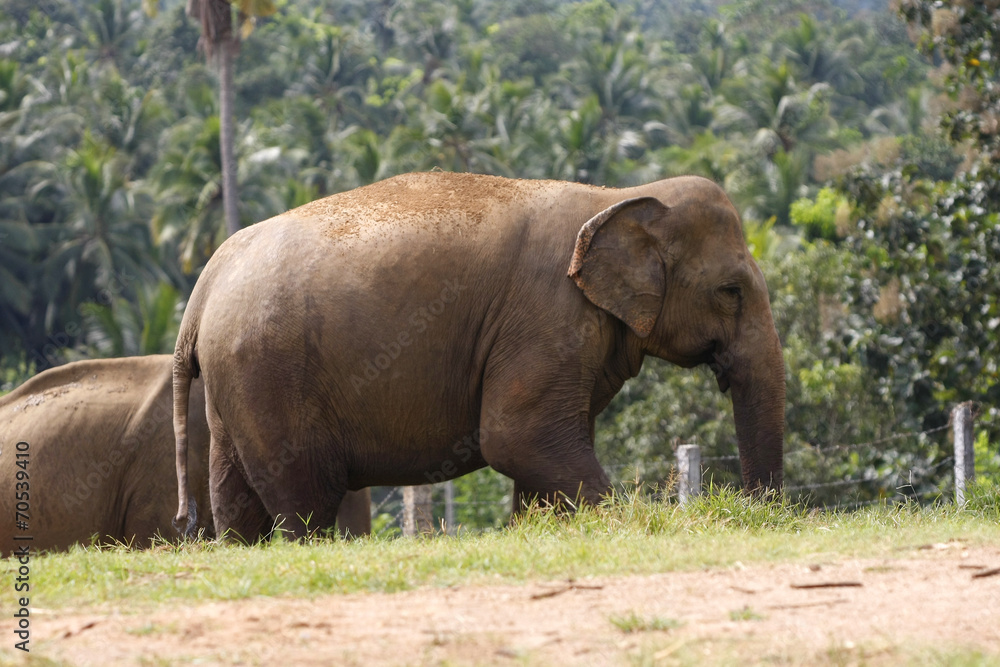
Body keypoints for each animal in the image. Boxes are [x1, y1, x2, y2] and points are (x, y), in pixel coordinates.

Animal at [173, 171, 784, 540]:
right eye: (731, 291)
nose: (759, 515)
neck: (617, 194)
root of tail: (205, 285)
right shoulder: (546, 316)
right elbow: (516, 436)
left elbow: (544, 445)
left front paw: (540, 530)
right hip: (271, 375)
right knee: (305, 495)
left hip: (236, 383)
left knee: (234, 490)